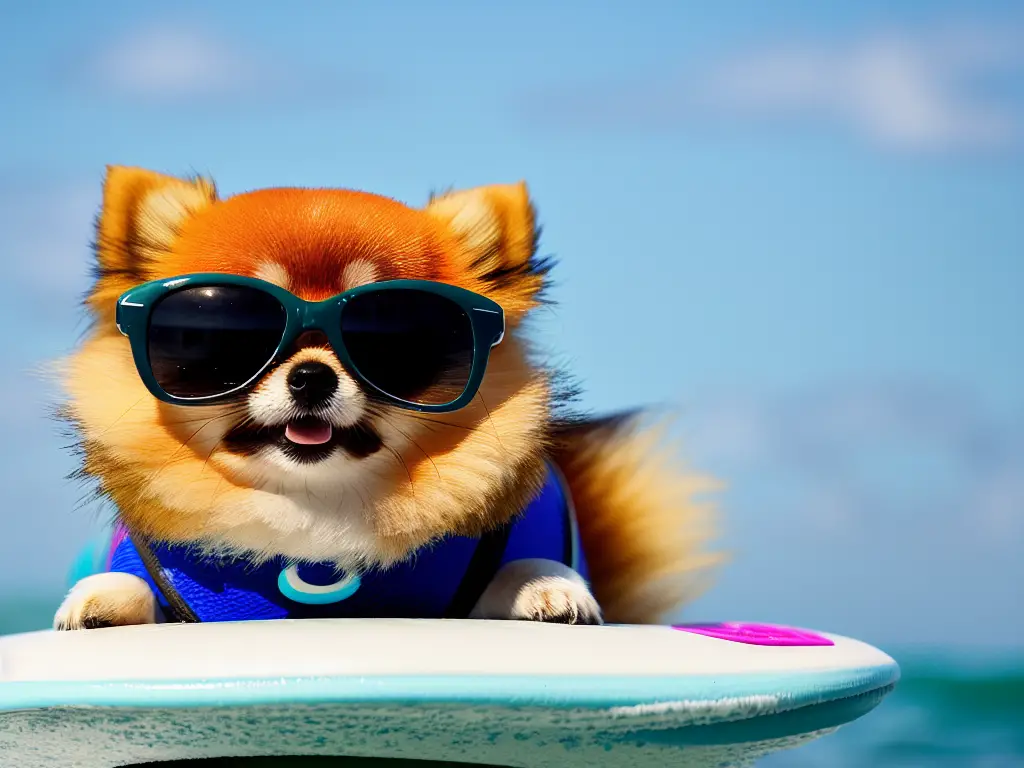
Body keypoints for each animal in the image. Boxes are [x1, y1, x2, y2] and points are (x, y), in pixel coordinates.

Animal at [51, 166, 716, 630]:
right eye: (219, 336)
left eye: (392, 340)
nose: (311, 376)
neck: (318, 508)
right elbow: (136, 587)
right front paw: (106, 596)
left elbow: (522, 569)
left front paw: (545, 586)